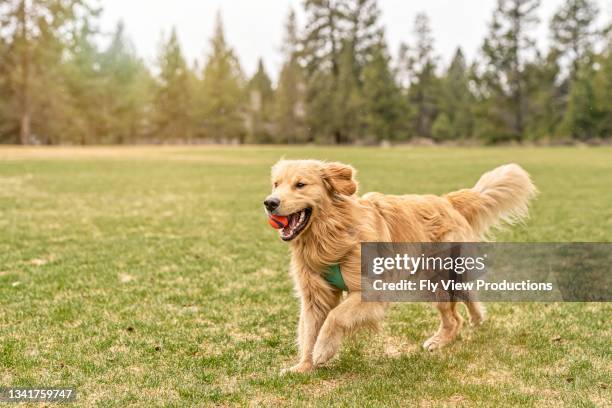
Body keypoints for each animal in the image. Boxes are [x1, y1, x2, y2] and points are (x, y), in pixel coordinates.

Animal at [264, 159, 536, 372]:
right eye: (276, 184)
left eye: (300, 184)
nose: (270, 202)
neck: (331, 234)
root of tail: (446, 200)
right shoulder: (314, 295)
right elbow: (309, 330)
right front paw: (303, 366)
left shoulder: (372, 291)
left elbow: (335, 316)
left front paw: (323, 350)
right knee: (462, 304)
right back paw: (466, 324)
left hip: (439, 276)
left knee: (458, 309)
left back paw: (453, 332)